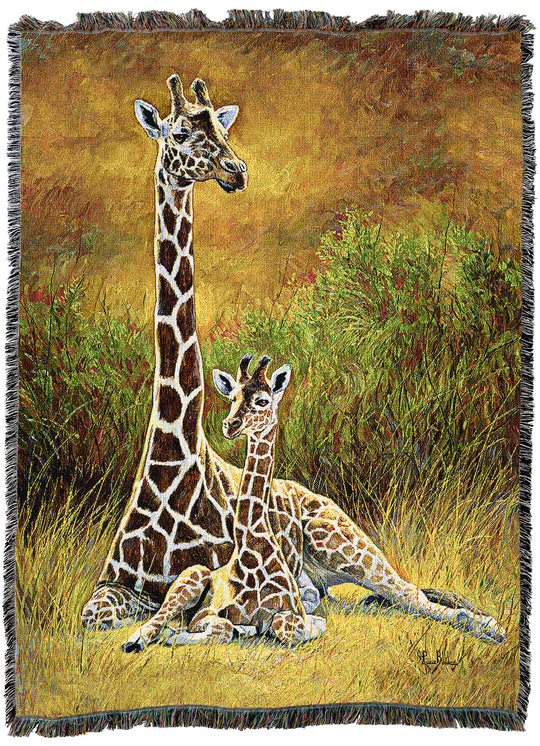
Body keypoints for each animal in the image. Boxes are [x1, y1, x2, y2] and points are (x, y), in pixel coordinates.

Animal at [122, 355, 326, 651]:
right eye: (232, 397)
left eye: (262, 400)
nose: (230, 425)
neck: (253, 551)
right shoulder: (205, 614)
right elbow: (223, 627)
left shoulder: (296, 614)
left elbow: (292, 626)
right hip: (192, 575)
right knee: (158, 619)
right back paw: (137, 639)